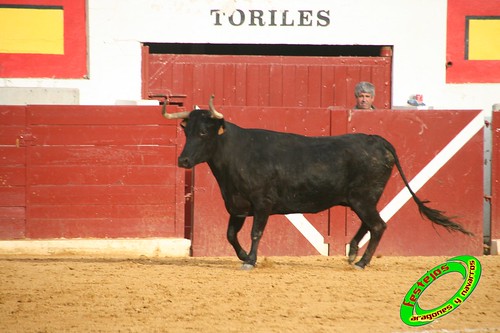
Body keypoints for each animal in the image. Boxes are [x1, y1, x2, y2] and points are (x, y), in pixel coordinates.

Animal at [162, 97, 470, 268]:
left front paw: (249, 260)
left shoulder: (262, 204)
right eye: (187, 131)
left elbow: (255, 233)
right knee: (370, 223)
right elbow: (229, 235)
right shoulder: (237, 207)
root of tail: (377, 140)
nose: (183, 161)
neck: (237, 153)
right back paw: (352, 252)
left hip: (363, 197)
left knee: (378, 225)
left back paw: (361, 262)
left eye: (204, 132)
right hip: (363, 198)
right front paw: (244, 256)